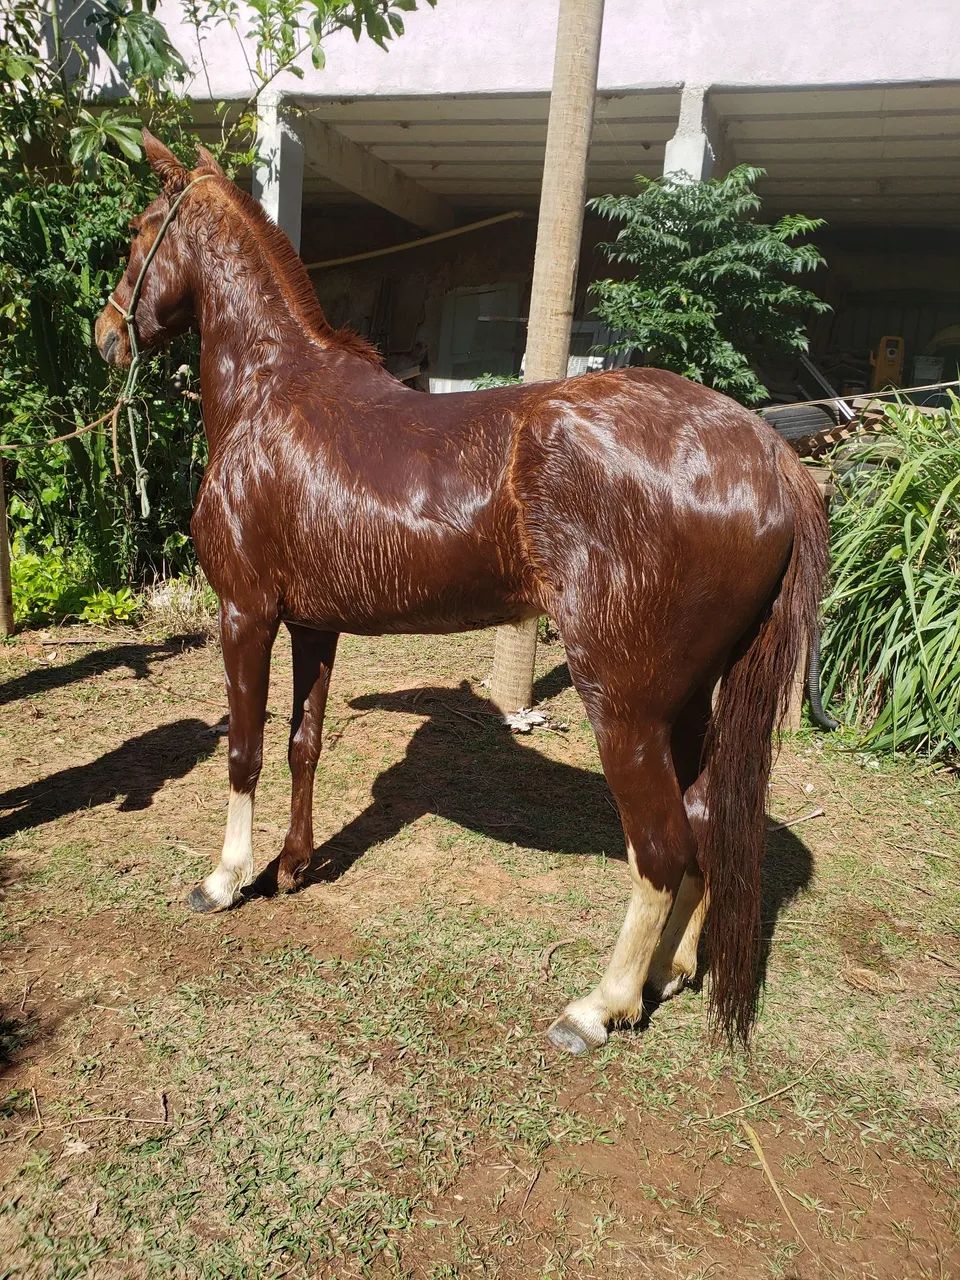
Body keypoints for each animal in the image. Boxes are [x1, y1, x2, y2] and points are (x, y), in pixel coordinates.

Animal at [95, 131, 828, 1054]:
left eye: (140, 229)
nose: (105, 333)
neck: (273, 392)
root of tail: (768, 455)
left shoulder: (247, 615)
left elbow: (245, 750)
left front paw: (226, 880)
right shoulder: (314, 627)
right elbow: (303, 744)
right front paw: (293, 866)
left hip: (623, 701)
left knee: (661, 849)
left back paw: (598, 1007)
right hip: (690, 701)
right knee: (700, 828)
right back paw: (665, 975)